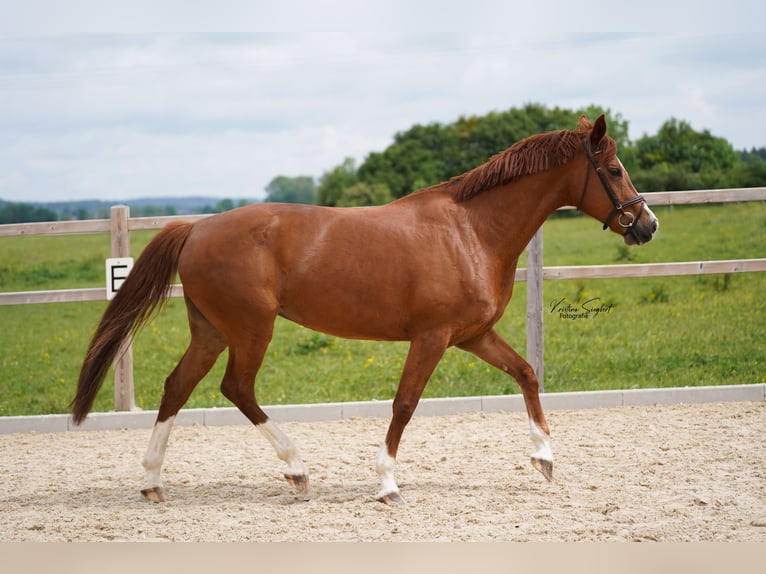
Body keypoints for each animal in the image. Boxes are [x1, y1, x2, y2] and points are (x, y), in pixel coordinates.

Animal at [70, 115, 660, 506]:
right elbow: (405, 404)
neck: (472, 231)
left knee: (177, 386)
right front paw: (387, 483)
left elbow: (526, 372)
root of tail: (195, 228)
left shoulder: (472, 335)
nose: (647, 225)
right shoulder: (432, 337)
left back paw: (152, 481)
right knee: (236, 388)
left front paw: (545, 459)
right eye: (613, 169)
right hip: (250, 329)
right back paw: (297, 469)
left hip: (212, 330)